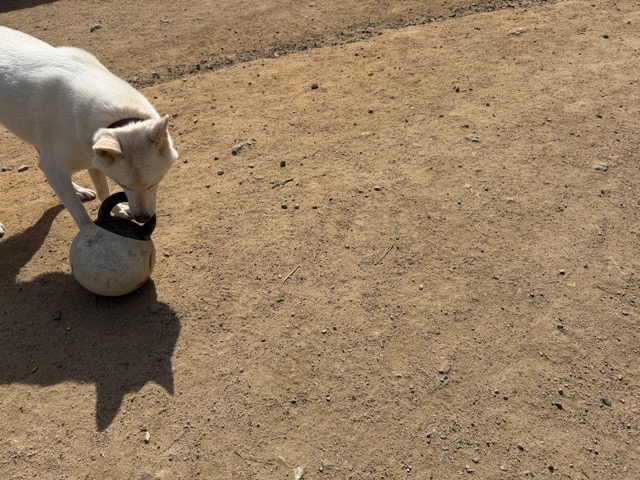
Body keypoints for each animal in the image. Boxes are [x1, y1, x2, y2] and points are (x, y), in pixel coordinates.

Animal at [0, 26, 178, 237]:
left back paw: (78, 190)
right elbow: (81, 215)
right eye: (124, 185)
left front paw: (117, 210)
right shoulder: (53, 167)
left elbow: (103, 192)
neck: (115, 114)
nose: (142, 219)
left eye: (152, 183)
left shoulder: (91, 159)